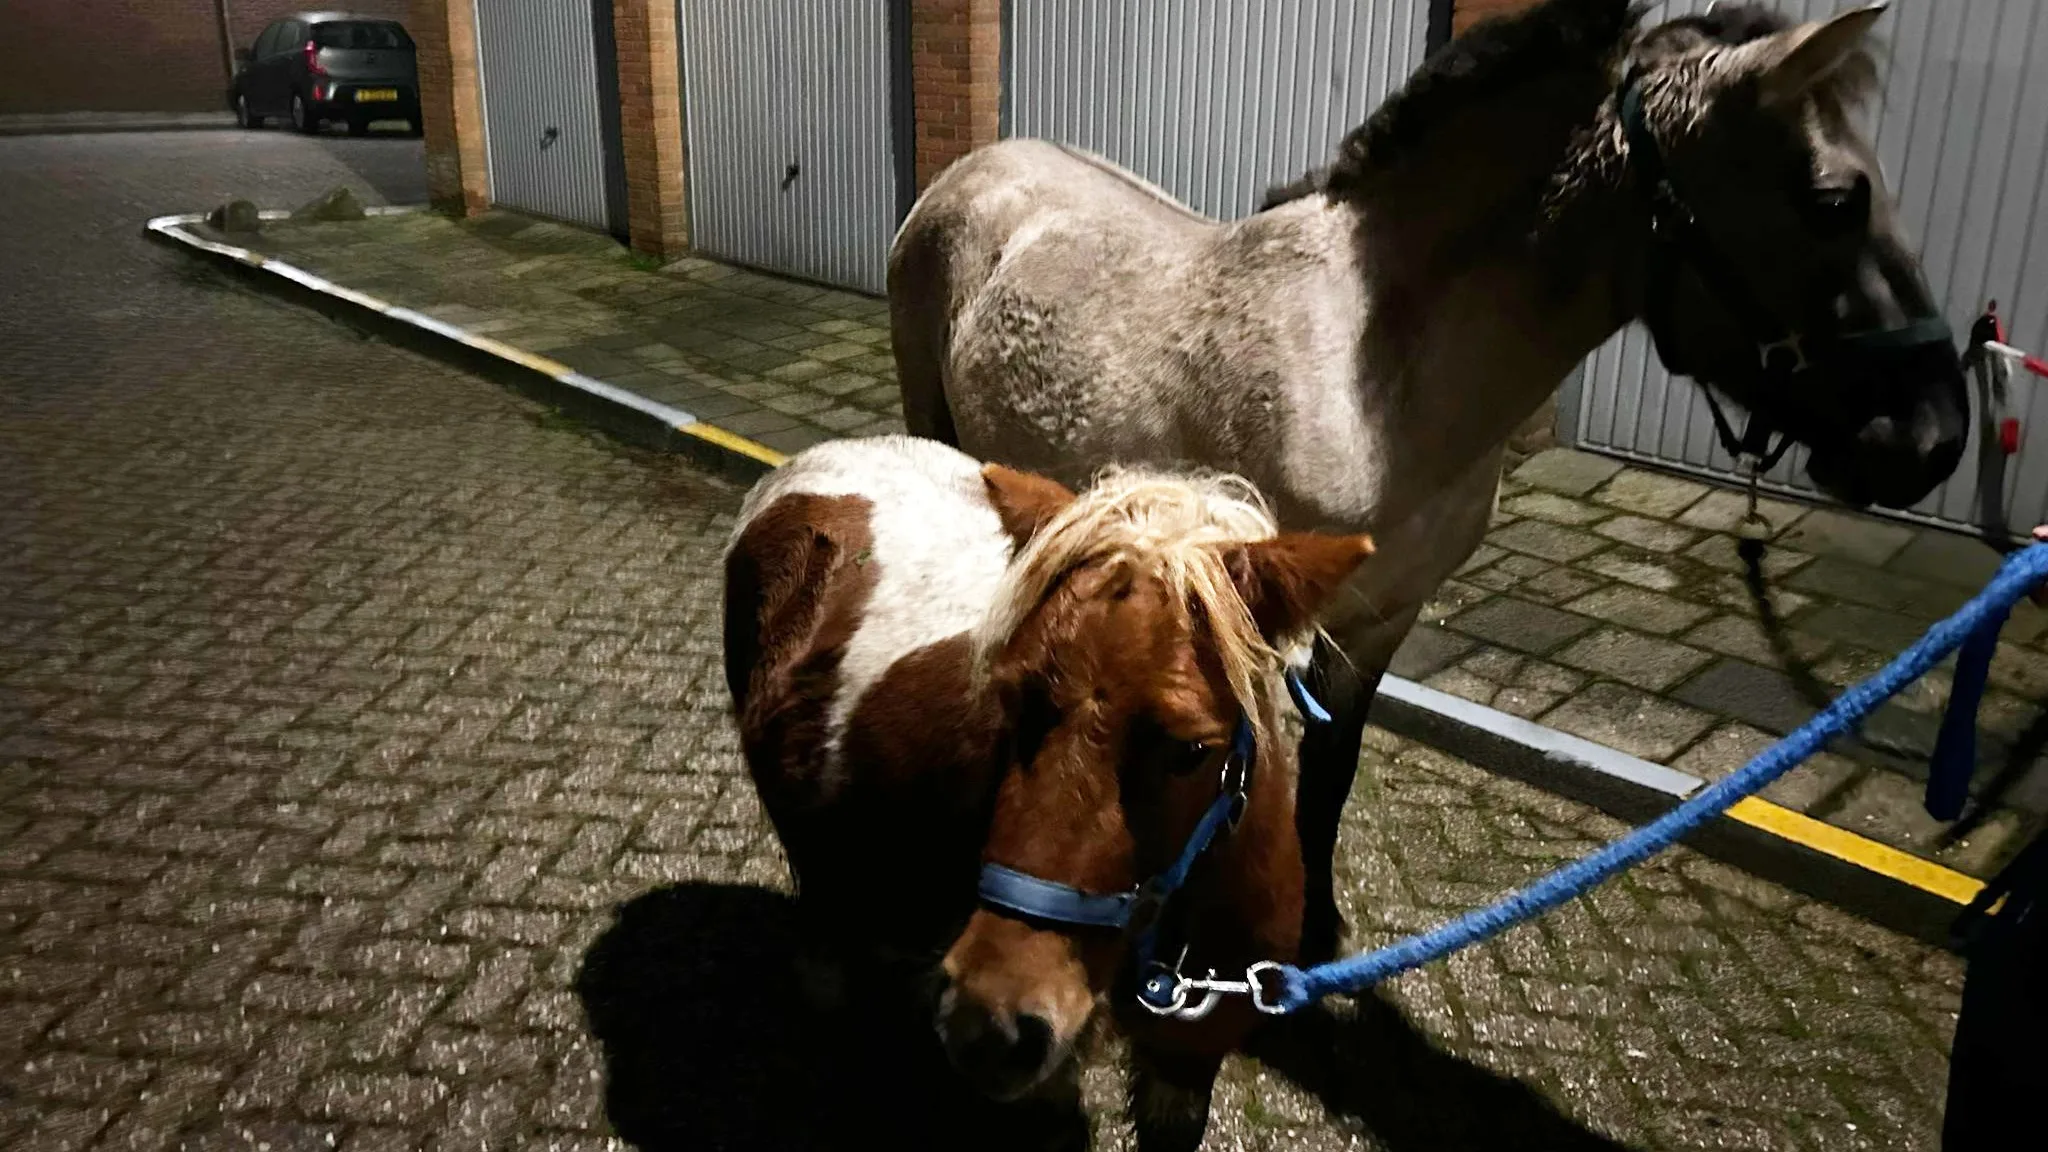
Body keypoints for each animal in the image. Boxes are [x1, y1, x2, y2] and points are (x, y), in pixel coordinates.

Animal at [885, 0, 1969, 967]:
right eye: (1834, 200)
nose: (1935, 437)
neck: (1376, 372)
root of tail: (973, 170)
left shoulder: (1379, 619)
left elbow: (1327, 776)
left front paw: (1311, 934)